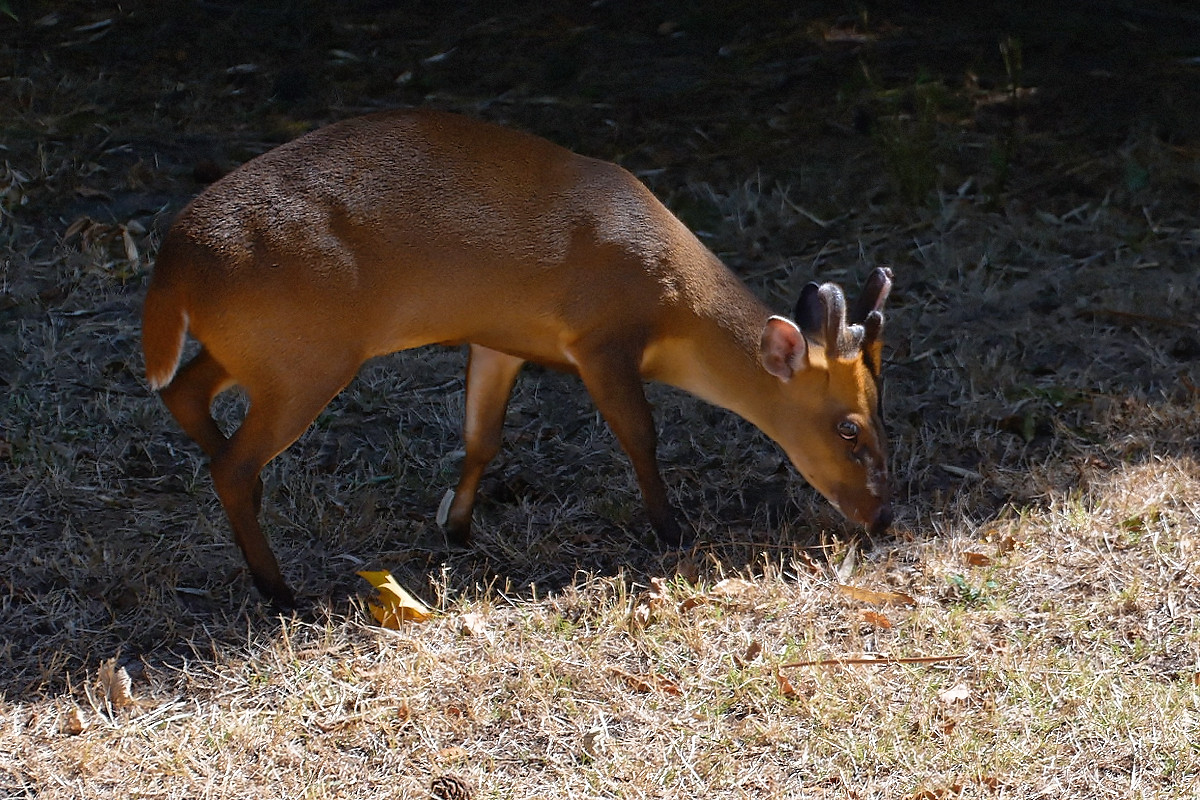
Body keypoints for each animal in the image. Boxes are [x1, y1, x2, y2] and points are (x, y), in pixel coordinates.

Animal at [140, 107, 892, 606]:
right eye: (847, 428)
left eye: (882, 412)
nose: (883, 516)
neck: (674, 306)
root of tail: (171, 268)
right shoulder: (599, 338)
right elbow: (640, 434)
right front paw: (670, 529)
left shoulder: (498, 339)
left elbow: (482, 437)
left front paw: (457, 528)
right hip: (306, 358)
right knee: (231, 462)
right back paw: (280, 591)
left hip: (260, 351)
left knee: (182, 393)